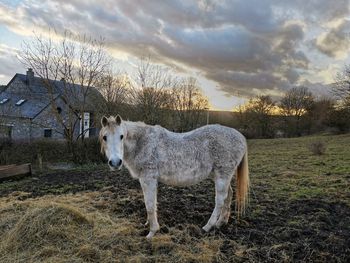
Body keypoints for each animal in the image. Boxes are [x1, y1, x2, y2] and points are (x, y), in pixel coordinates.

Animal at [100, 115, 250, 239]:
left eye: (121, 136)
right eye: (104, 137)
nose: (115, 162)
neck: (143, 143)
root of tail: (240, 137)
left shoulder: (148, 179)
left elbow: (149, 204)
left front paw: (152, 232)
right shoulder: (148, 180)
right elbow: (151, 203)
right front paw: (148, 223)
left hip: (222, 176)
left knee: (220, 200)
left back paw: (208, 226)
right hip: (221, 176)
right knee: (229, 195)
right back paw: (221, 223)